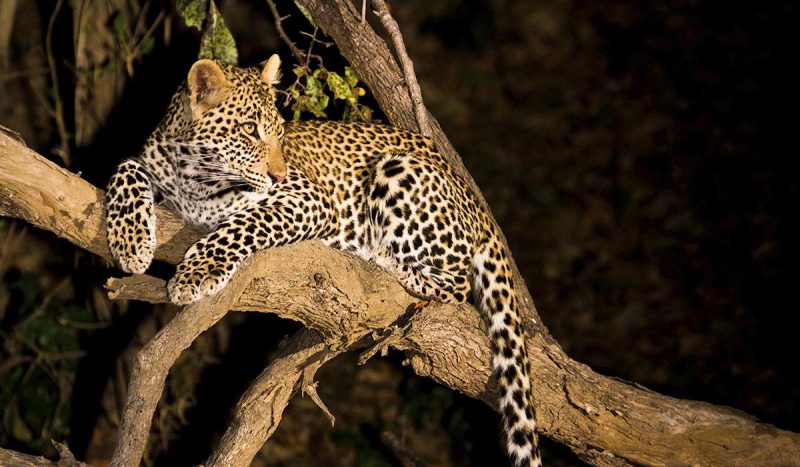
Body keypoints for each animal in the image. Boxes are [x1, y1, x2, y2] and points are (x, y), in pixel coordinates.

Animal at [105, 55, 541, 467]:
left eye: (281, 133)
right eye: (249, 130)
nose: (279, 176)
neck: (193, 176)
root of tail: (477, 201)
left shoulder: (308, 200)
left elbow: (244, 224)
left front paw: (197, 272)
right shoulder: (151, 164)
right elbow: (125, 168)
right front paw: (130, 240)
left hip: (397, 171)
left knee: (457, 284)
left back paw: (378, 254)